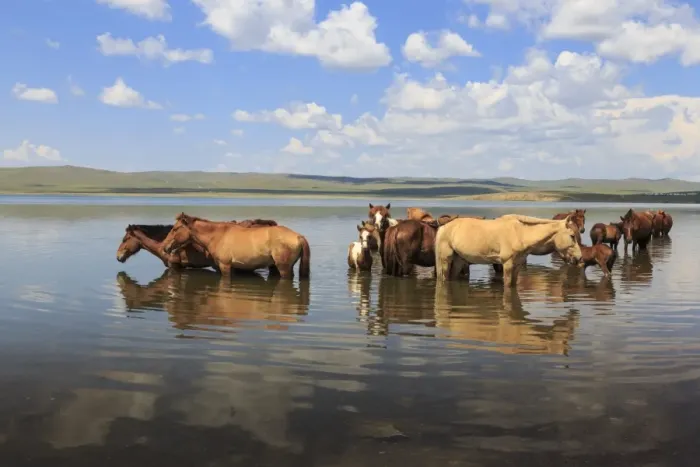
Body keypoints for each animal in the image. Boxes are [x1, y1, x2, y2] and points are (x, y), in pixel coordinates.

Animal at [162, 213, 310, 279]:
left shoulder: (225, 266)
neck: (217, 235)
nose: (165, 246)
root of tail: (298, 236)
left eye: (175, 229)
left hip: (283, 268)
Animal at [434, 214, 582, 287]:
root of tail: (444, 226)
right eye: (572, 236)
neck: (520, 233)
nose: (580, 258)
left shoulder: (517, 265)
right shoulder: (507, 265)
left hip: (459, 260)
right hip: (445, 260)